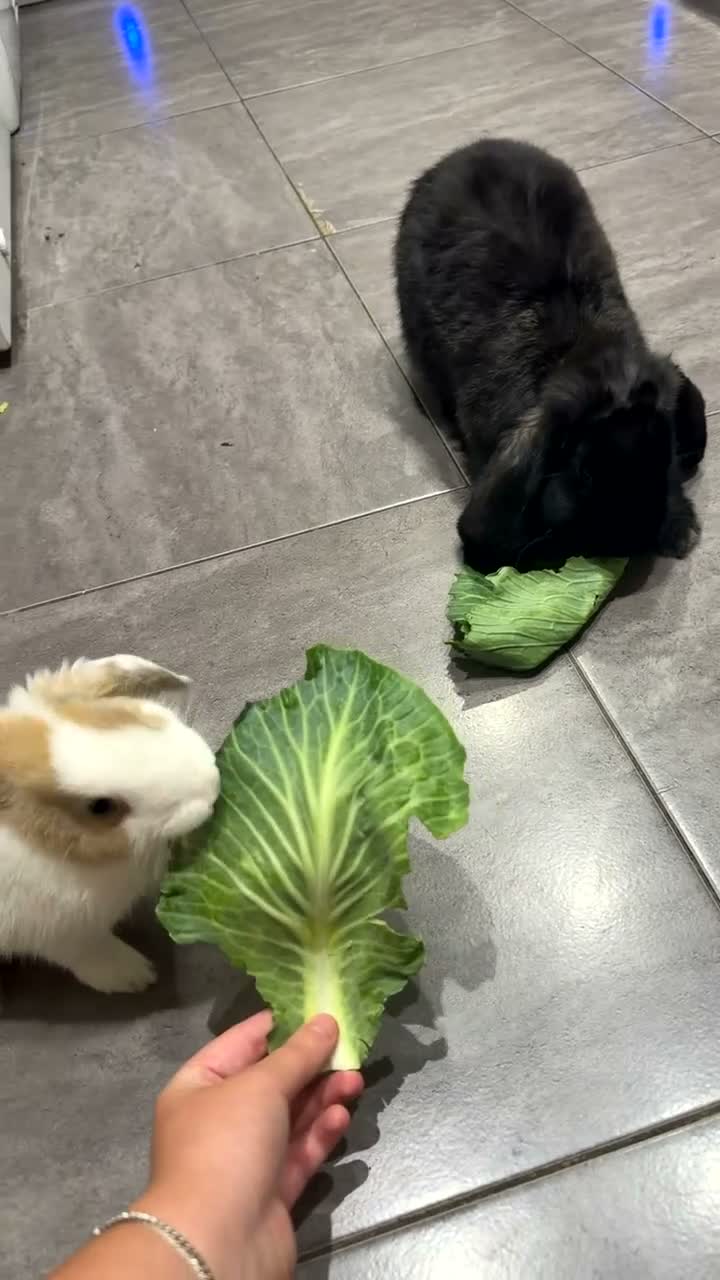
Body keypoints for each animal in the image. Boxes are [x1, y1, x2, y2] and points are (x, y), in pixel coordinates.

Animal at [0, 654, 220, 994]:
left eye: (122, 716)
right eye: (100, 807)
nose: (210, 786)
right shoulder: (60, 934)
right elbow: (92, 954)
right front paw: (137, 977)